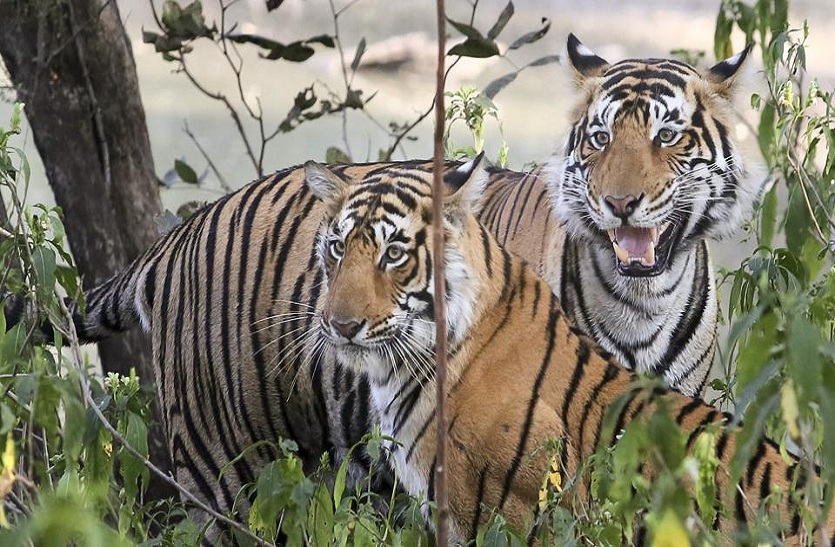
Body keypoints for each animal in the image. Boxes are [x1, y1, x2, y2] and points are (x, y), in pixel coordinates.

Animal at [1, 36, 760, 526]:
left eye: (666, 137)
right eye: (599, 139)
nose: (620, 202)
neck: (638, 301)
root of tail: (176, 237)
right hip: (226, 469)